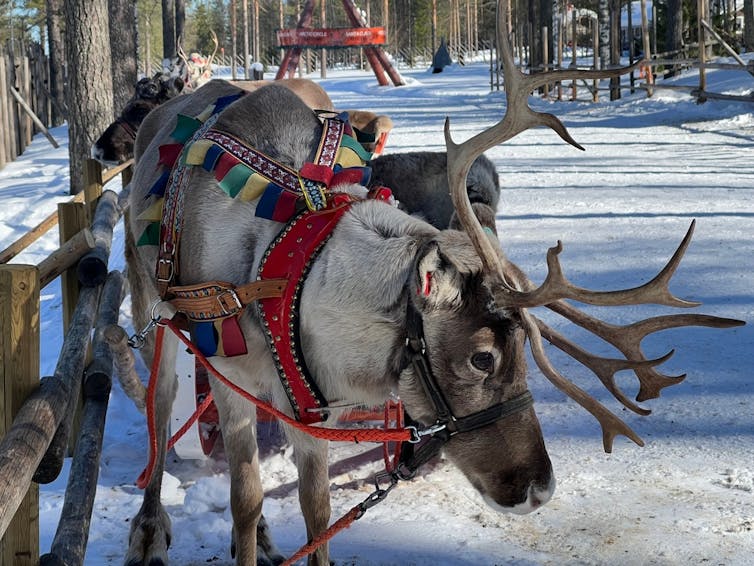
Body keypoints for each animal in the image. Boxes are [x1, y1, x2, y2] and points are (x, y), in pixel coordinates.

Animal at [120, 2, 743, 565]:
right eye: (482, 358)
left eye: (526, 346)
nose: (540, 489)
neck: (281, 272)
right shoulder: (230, 377)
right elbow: (246, 500)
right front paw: (242, 533)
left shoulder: (310, 402)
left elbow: (317, 511)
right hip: (152, 310)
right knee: (160, 404)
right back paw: (149, 529)